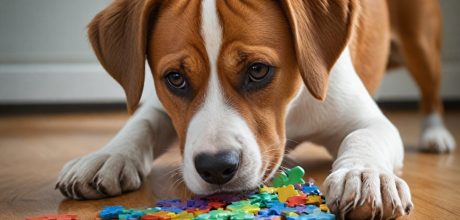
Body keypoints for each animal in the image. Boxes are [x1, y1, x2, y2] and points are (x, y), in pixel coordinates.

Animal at [56, 0, 452, 219]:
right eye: (175, 78)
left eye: (258, 70)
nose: (216, 167)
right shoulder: (160, 106)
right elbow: (142, 124)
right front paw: (107, 156)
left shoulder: (368, 119)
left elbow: (365, 138)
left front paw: (365, 176)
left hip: (421, 42)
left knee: (432, 91)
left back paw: (436, 134)